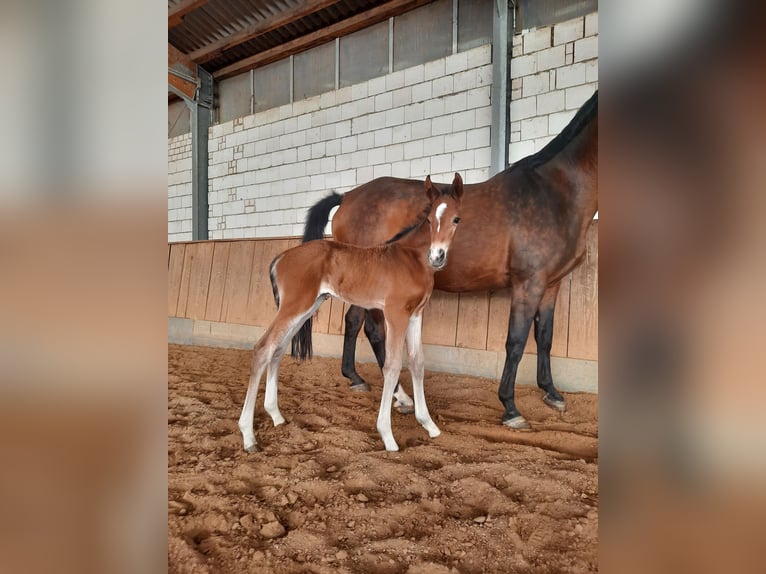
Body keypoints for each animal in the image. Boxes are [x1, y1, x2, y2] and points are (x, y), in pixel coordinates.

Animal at [237, 173, 464, 452]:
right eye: (430, 219)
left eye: (456, 218)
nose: (437, 256)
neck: (410, 258)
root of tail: (281, 257)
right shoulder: (395, 314)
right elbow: (392, 366)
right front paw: (388, 436)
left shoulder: (415, 315)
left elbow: (417, 362)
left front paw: (429, 425)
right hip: (294, 307)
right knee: (262, 349)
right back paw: (248, 436)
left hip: (306, 308)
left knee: (277, 350)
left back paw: (276, 416)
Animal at [302, 92, 600, 430]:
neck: (553, 193)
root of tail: (348, 196)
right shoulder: (528, 283)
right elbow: (516, 341)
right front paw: (510, 408)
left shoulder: (551, 284)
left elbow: (544, 337)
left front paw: (551, 392)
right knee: (372, 331)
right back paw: (399, 396)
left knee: (354, 323)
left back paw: (356, 378)